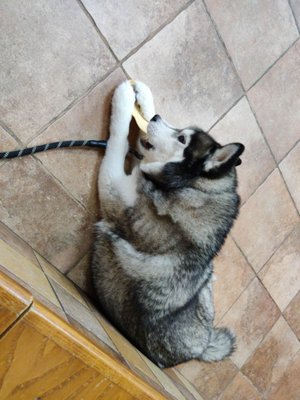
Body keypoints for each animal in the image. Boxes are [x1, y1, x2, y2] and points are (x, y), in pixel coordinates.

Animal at [91, 79, 244, 368]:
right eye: (182, 131)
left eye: (182, 139)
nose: (156, 118)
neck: (191, 186)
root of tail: (200, 350)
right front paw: (143, 98)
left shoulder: (115, 191)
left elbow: (116, 142)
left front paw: (124, 101)